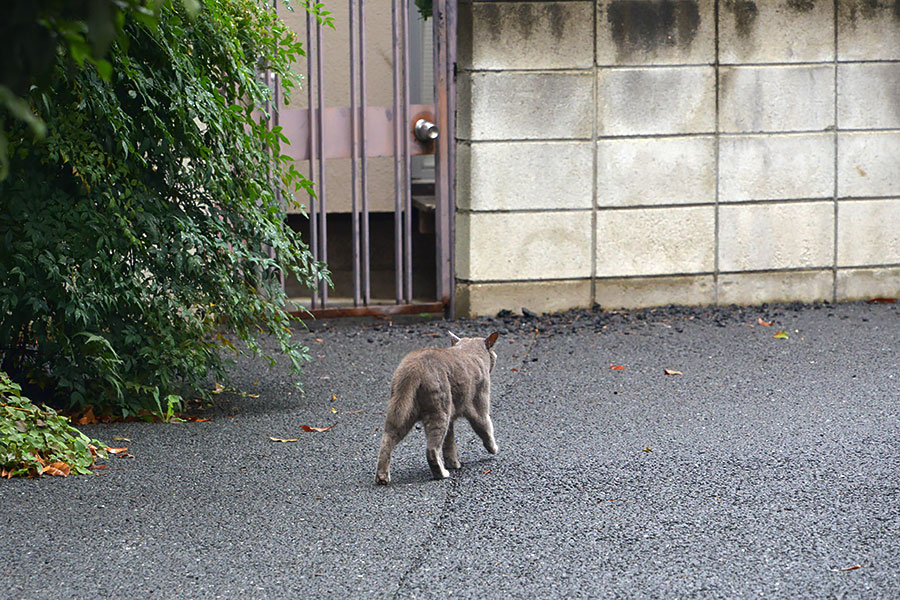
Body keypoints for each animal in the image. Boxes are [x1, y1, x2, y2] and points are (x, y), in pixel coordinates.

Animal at [372, 330, 500, 486]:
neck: (469, 351)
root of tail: (414, 367)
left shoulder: (451, 420)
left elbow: (449, 444)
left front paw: (453, 463)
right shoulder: (479, 407)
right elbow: (486, 428)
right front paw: (494, 449)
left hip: (402, 411)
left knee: (386, 441)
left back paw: (382, 477)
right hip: (439, 411)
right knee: (431, 450)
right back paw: (442, 474)